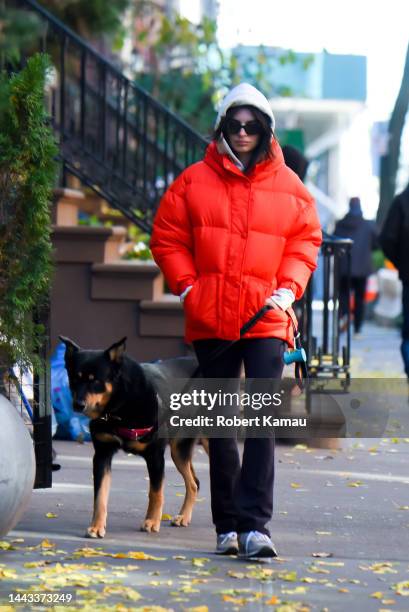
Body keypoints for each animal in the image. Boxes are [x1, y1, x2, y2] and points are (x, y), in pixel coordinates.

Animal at [59, 338, 207, 536]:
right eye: (74, 378)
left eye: (95, 380)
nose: (77, 405)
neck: (119, 407)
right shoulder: (102, 455)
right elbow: (100, 496)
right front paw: (97, 526)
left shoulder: (155, 456)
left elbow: (155, 492)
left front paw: (152, 521)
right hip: (179, 450)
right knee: (194, 483)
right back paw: (184, 516)